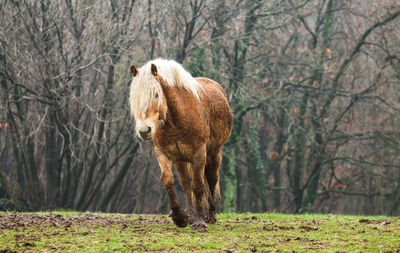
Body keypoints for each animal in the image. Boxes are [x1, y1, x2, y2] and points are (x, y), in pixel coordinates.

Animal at [130, 58, 233, 231]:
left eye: (156, 94)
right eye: (134, 98)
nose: (144, 131)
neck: (177, 117)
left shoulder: (199, 154)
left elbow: (199, 186)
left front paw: (200, 222)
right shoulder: (164, 154)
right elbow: (170, 181)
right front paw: (180, 217)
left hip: (214, 152)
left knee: (211, 179)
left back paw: (210, 215)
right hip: (181, 160)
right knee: (186, 184)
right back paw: (190, 215)